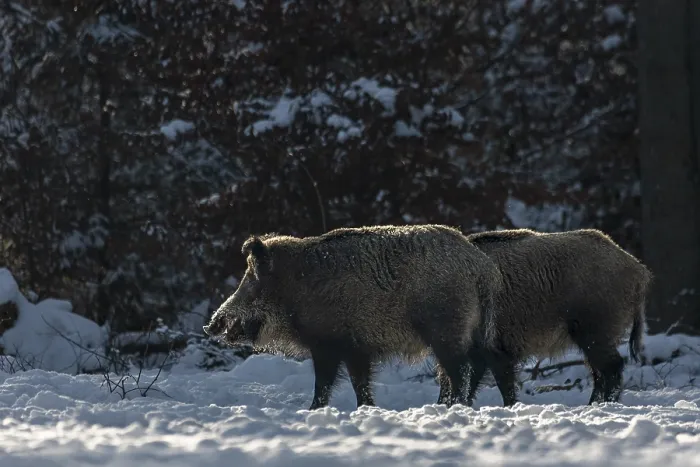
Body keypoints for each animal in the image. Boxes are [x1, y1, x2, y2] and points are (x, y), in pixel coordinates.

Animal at [203, 224, 503, 410]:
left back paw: (452, 407)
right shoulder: (356, 348)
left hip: (446, 329)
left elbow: (323, 383)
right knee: (468, 369)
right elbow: (359, 382)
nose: (210, 326)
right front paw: (366, 409)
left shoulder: (328, 344)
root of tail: (482, 267)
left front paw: (312, 411)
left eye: (251, 281)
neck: (295, 288)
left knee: (460, 371)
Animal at [435, 228, 652, 407]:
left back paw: (603, 405)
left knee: (612, 366)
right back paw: (591, 405)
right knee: (598, 372)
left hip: (596, 329)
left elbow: (500, 382)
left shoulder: (496, 347)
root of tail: (639, 271)